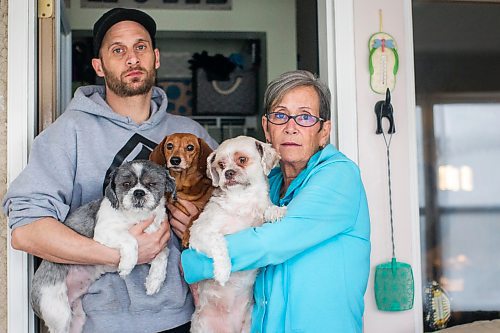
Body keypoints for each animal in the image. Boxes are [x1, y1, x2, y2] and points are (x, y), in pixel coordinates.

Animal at [30, 160, 176, 332]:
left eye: (152, 184)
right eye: (126, 184)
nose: (139, 192)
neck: (137, 217)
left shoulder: (156, 243)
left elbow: (163, 255)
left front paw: (154, 282)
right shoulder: (103, 233)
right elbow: (130, 239)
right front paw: (127, 265)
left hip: (77, 318)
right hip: (58, 312)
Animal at [188, 136, 288, 332]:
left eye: (242, 160)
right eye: (220, 164)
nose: (228, 172)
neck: (243, 200)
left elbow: (268, 210)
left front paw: (276, 211)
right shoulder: (199, 232)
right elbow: (219, 242)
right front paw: (223, 271)